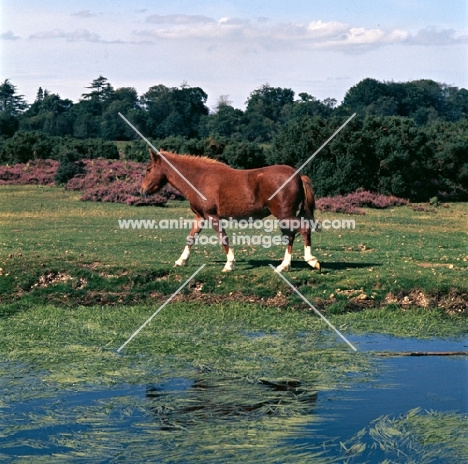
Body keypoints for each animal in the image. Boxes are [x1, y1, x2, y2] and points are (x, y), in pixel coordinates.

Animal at [141, 150, 320, 272]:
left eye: (148, 169)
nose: (142, 190)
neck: (199, 178)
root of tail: (298, 176)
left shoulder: (212, 216)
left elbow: (223, 238)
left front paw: (229, 264)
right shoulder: (200, 216)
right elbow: (191, 237)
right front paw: (181, 260)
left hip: (285, 215)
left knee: (303, 229)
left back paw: (311, 260)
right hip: (285, 217)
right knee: (291, 235)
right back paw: (284, 265)